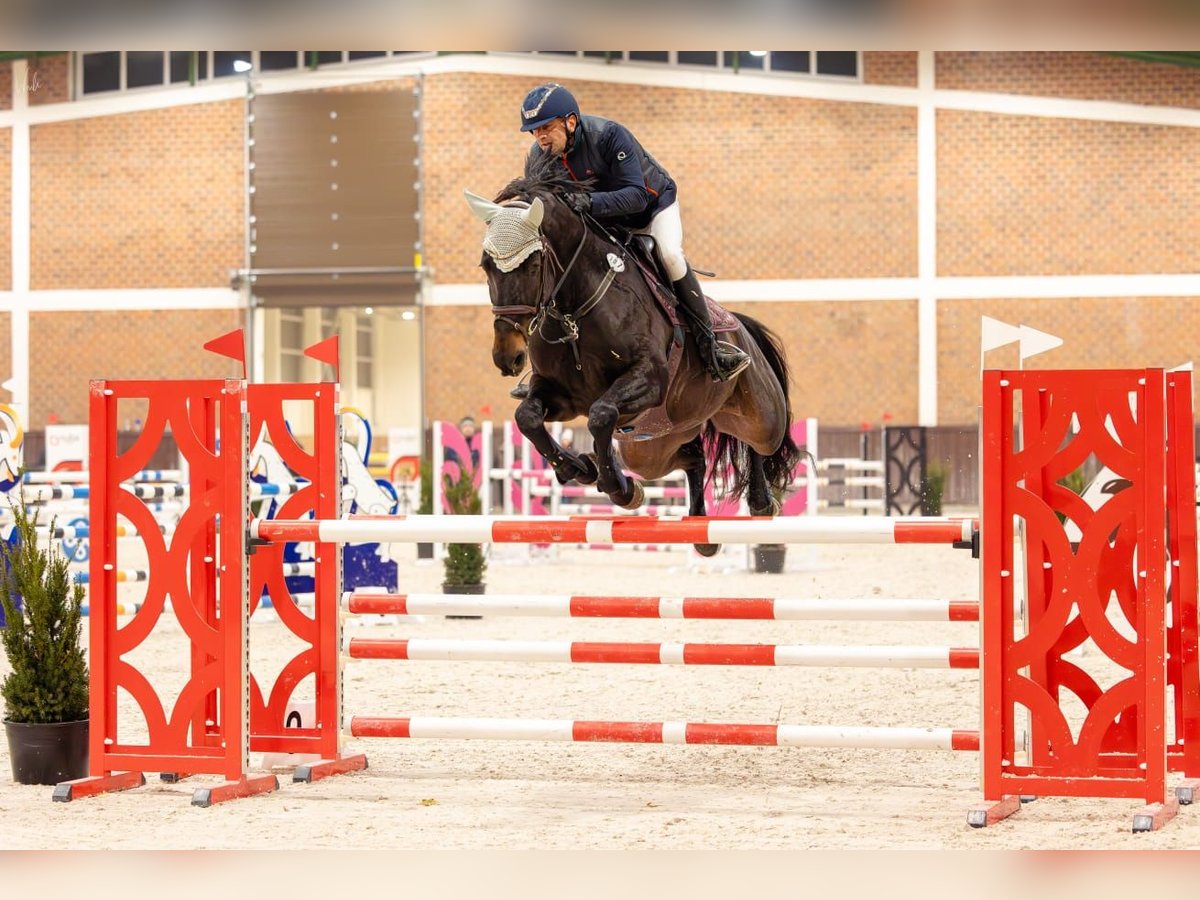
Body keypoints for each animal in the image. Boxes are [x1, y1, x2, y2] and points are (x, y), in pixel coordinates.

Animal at [463, 164, 801, 554]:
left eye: (533, 265)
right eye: (485, 265)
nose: (508, 356)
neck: (574, 310)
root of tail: (738, 324)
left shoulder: (648, 380)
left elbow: (600, 416)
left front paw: (619, 487)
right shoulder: (560, 395)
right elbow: (528, 418)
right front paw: (579, 468)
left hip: (760, 415)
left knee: (758, 444)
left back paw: (761, 502)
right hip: (655, 446)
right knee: (693, 458)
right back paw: (699, 527)